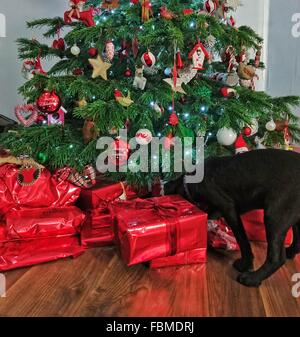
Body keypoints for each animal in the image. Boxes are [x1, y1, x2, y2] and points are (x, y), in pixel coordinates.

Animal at [164, 149, 300, 286]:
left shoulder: (228, 208)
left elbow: (242, 239)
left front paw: (246, 264)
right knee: (297, 241)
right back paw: (290, 252)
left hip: (275, 215)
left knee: (277, 258)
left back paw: (253, 278)